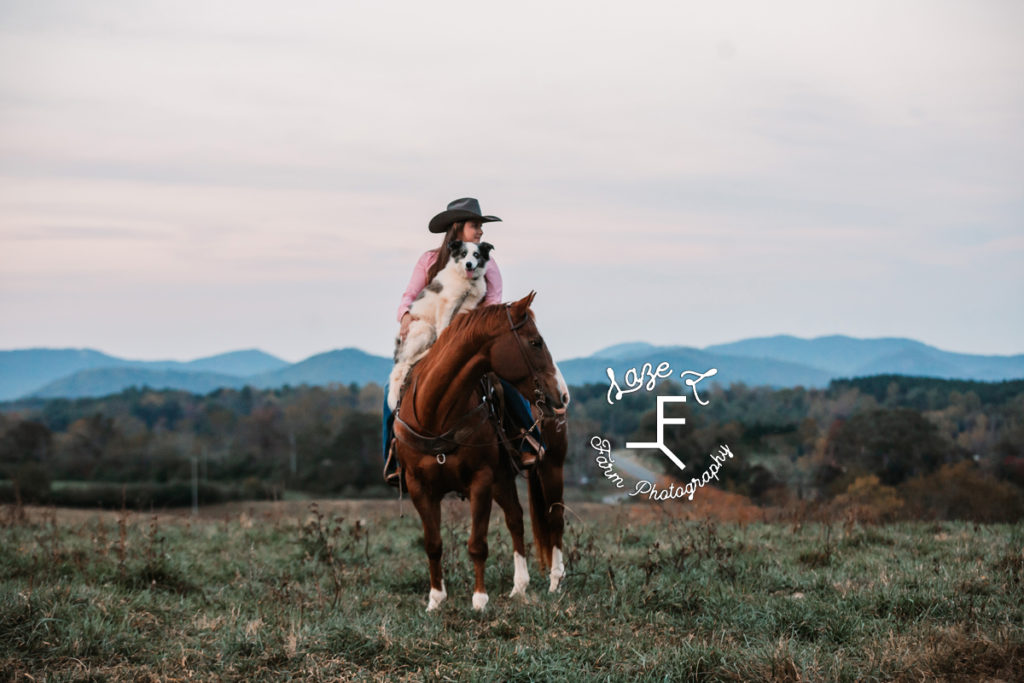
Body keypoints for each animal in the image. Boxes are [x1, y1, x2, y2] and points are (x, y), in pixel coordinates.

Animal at [387, 240, 491, 411]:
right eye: (463, 254)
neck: (467, 281)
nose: (469, 264)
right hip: (425, 329)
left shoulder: (467, 306)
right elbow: (444, 327)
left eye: (476, 255)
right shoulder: (447, 304)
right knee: (409, 359)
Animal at [391, 290, 569, 610]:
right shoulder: (419, 486)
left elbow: (477, 543)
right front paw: (435, 599)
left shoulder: (481, 480)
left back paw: (555, 581)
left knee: (554, 518)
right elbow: (433, 544)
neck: (436, 414)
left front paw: (479, 600)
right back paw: (519, 586)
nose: (561, 395)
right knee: (515, 519)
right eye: (535, 342)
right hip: (503, 478)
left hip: (551, 467)